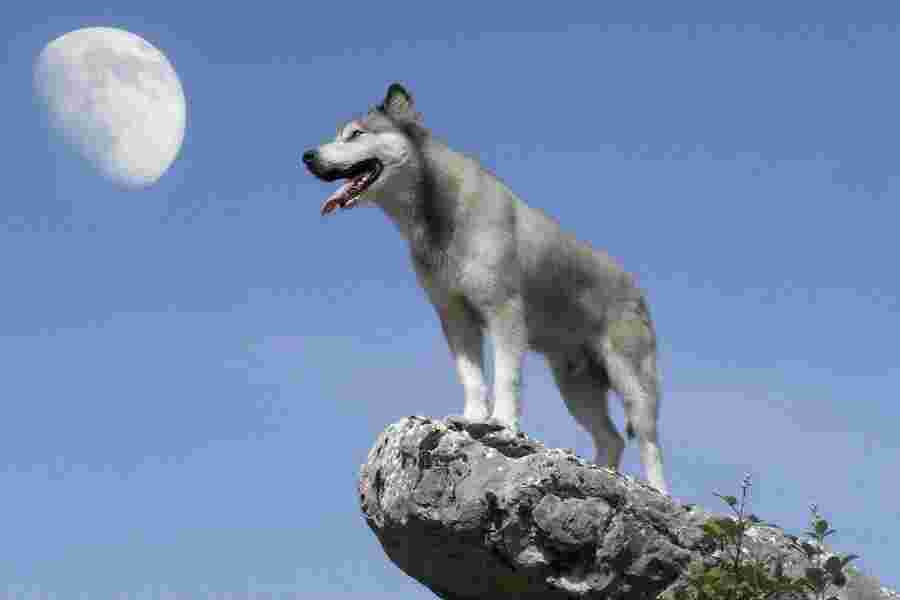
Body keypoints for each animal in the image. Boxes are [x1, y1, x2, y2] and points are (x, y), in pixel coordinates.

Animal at [302, 83, 668, 494]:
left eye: (355, 134)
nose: (307, 156)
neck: (438, 214)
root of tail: (635, 286)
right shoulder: (454, 315)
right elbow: (471, 375)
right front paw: (473, 416)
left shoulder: (504, 311)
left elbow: (506, 375)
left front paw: (503, 422)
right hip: (575, 383)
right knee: (611, 438)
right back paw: (603, 473)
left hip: (631, 376)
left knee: (649, 441)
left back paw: (658, 490)